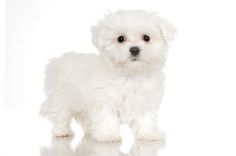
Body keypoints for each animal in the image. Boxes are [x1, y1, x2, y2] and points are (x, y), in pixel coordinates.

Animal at [40, 9, 176, 141]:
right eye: (120, 39)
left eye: (146, 38)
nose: (134, 49)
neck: (129, 75)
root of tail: (58, 60)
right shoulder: (103, 100)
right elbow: (107, 118)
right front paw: (108, 135)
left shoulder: (144, 100)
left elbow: (146, 119)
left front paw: (148, 134)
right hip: (60, 96)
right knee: (60, 114)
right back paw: (61, 131)